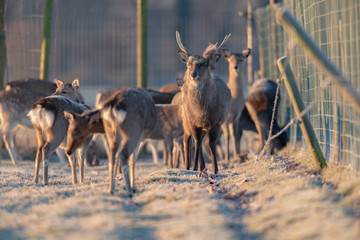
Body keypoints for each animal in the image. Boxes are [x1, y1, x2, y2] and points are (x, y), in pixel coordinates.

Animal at [176, 31, 232, 173]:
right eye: (188, 64)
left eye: (204, 64)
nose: (193, 74)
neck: (202, 112)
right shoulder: (192, 121)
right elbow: (196, 142)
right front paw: (194, 167)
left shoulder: (217, 121)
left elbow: (211, 144)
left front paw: (216, 169)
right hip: (185, 119)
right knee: (187, 139)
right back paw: (188, 166)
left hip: (205, 127)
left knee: (201, 142)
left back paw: (203, 167)